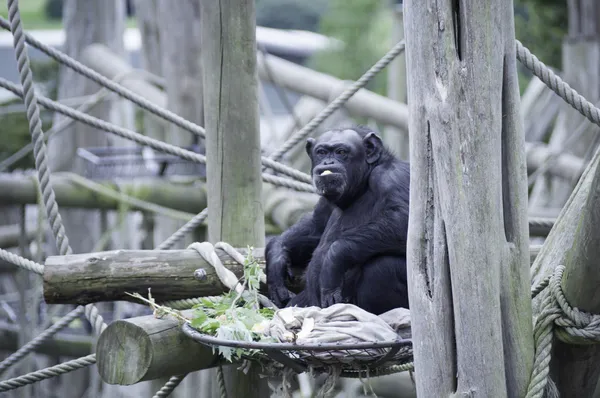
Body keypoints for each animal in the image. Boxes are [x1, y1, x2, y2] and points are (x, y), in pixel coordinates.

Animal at [264, 126, 410, 316]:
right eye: (322, 152)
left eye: (341, 152)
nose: (328, 163)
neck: (361, 186)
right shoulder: (325, 200)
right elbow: (315, 226)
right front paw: (276, 259)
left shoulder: (392, 177)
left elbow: (403, 221)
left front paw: (332, 264)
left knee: (383, 267)